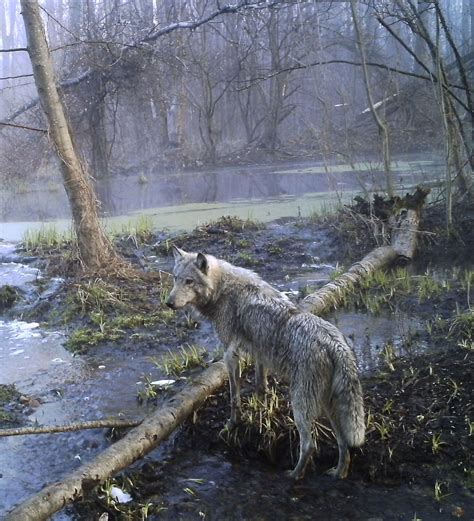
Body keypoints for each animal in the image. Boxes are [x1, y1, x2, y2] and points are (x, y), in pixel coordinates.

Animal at [168, 248, 366, 480]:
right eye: (175, 278)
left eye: (189, 281)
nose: (168, 303)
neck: (222, 289)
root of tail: (336, 344)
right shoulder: (259, 353)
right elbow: (260, 386)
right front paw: (260, 413)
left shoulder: (230, 354)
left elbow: (234, 397)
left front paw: (232, 424)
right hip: (329, 407)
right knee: (344, 444)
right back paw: (338, 473)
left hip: (301, 406)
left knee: (309, 445)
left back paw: (294, 475)